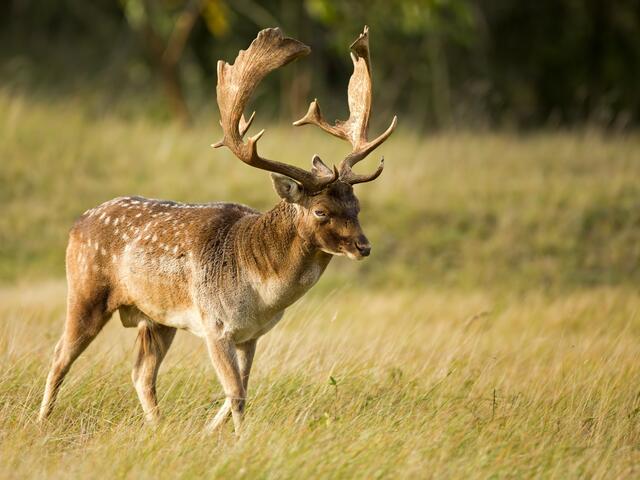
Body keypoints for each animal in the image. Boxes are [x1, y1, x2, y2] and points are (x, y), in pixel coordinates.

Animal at [38, 24, 396, 434]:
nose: (363, 246)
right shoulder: (216, 324)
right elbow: (237, 392)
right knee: (60, 356)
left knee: (141, 373)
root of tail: (76, 224)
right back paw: (41, 419)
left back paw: (159, 427)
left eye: (357, 206)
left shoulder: (251, 335)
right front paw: (240, 438)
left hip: (156, 319)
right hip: (85, 290)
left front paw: (210, 431)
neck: (261, 288)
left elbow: (240, 389)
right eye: (321, 211)